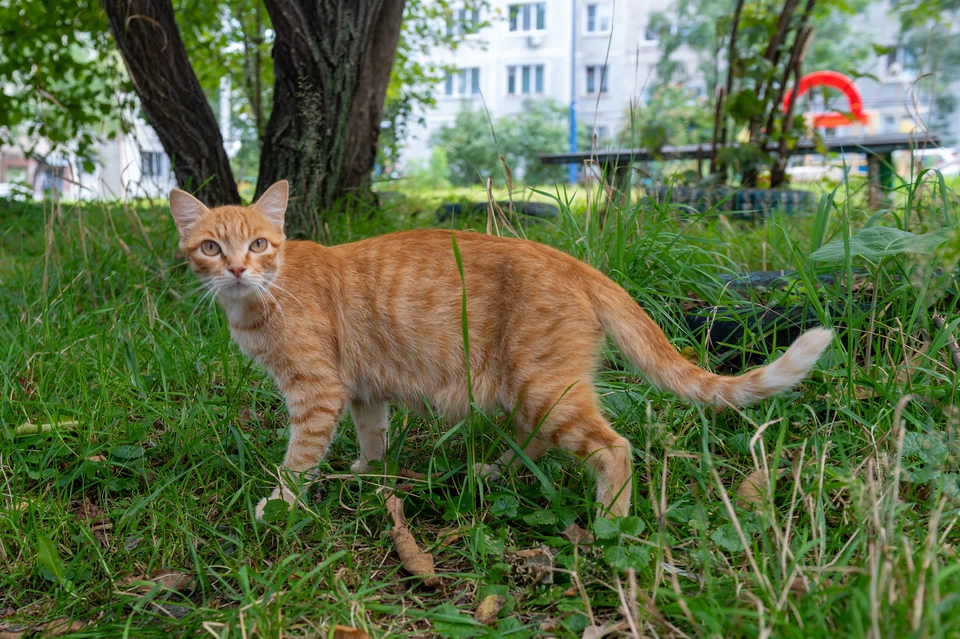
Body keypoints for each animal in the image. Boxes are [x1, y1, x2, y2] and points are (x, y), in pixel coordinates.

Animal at [171, 180, 832, 520]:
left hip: (543, 388)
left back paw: (611, 526)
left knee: (614, 449)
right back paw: (500, 470)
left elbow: (299, 458)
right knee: (538, 438)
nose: (235, 269)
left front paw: (280, 503)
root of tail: (571, 260)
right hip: (525, 389)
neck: (267, 292)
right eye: (210, 247)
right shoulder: (360, 390)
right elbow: (371, 432)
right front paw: (367, 469)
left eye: (259, 244)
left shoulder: (317, 392)